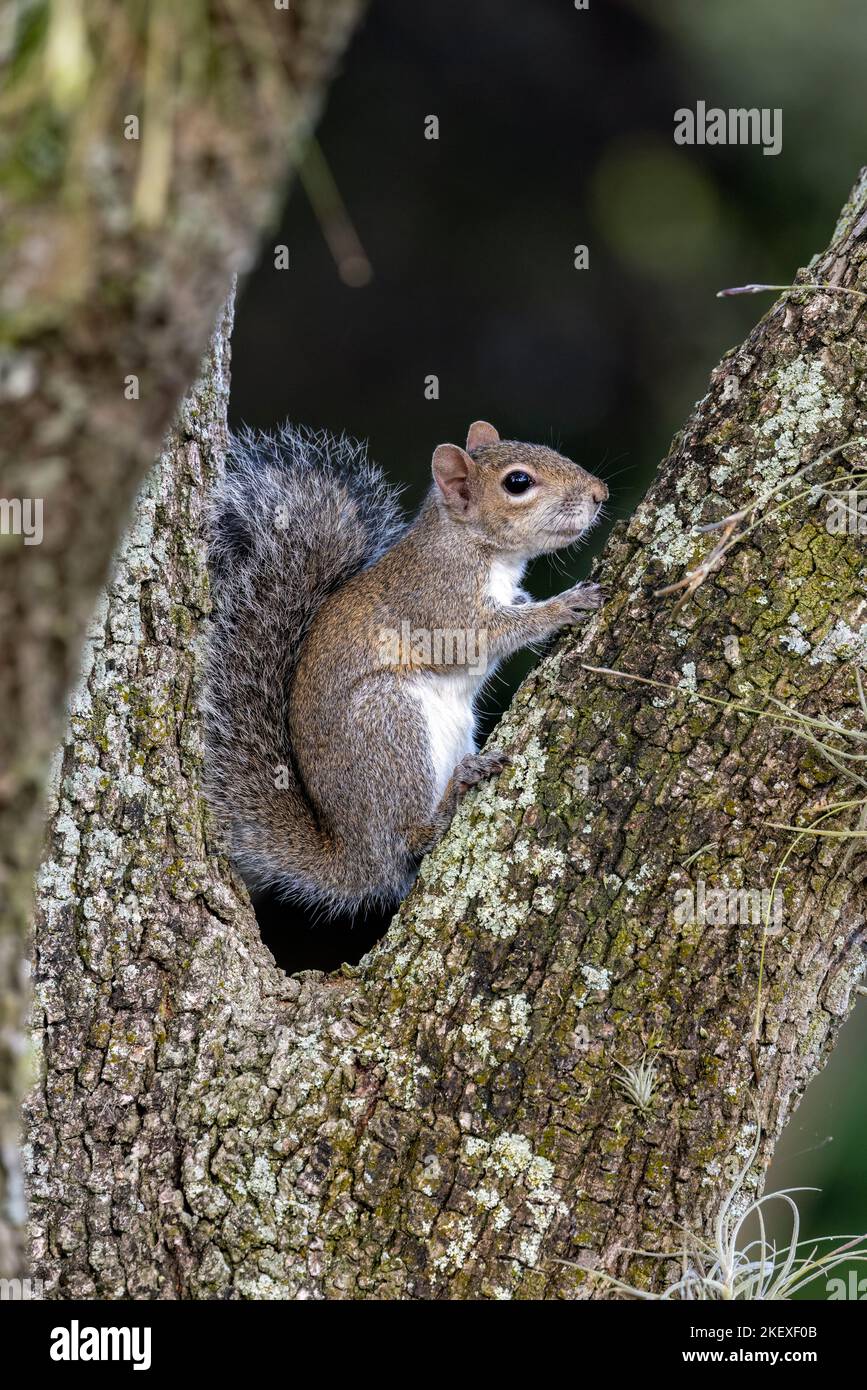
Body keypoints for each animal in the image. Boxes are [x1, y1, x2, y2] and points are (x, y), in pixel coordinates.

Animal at [205, 422, 605, 922]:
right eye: (518, 482)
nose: (600, 493)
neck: (471, 545)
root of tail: (355, 856)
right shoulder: (439, 605)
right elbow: (479, 638)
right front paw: (562, 606)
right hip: (390, 725)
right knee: (408, 840)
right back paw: (452, 793)